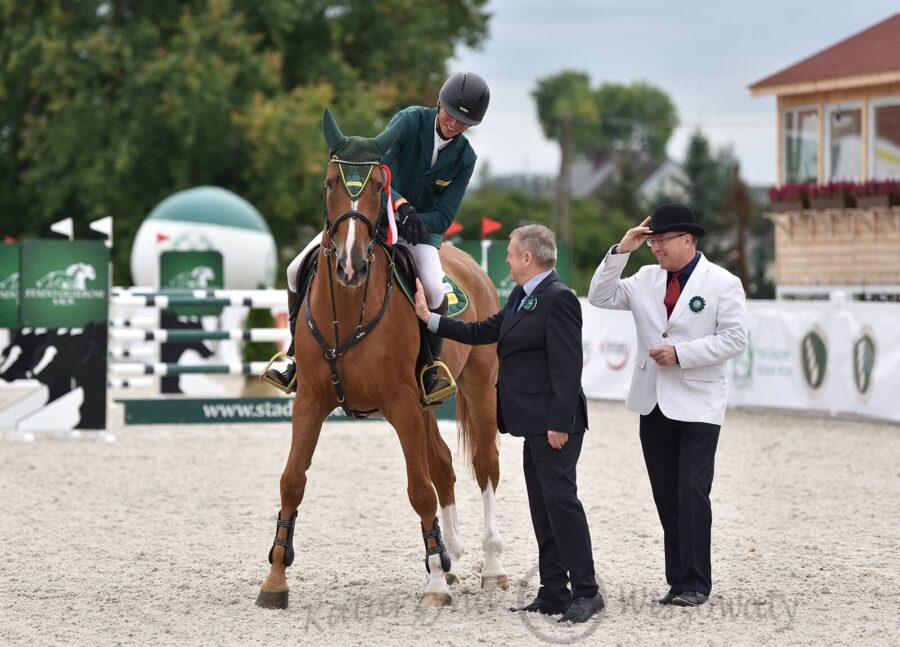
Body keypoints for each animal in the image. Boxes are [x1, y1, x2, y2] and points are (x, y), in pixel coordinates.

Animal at [255, 109, 506, 612]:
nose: (350, 266)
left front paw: (433, 585)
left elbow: (419, 491)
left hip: (477, 385)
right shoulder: (310, 401)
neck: (348, 310)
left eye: (378, 188)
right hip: (427, 404)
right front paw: (275, 580)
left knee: (485, 465)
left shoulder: (402, 404)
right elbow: (292, 480)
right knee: (444, 464)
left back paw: (489, 567)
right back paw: (451, 557)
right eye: (330, 182)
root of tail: (472, 264)